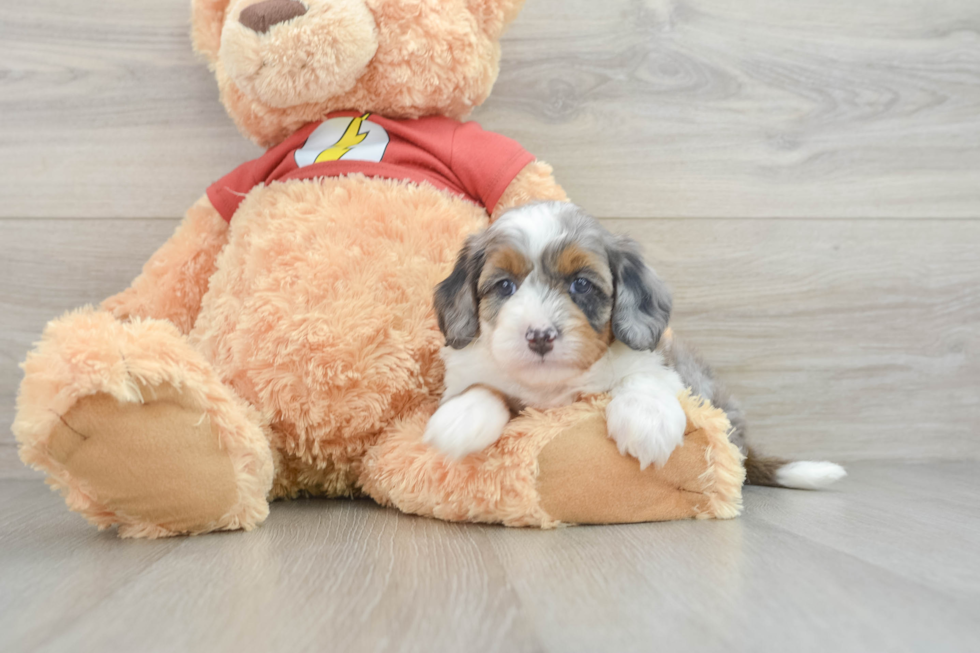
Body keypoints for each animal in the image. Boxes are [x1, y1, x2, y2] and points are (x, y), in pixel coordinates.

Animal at [424, 200, 684, 468]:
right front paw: (462, 415)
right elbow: (484, 386)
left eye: (581, 284)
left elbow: (644, 373)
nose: (540, 336)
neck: (550, 386)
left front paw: (648, 417)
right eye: (504, 285)